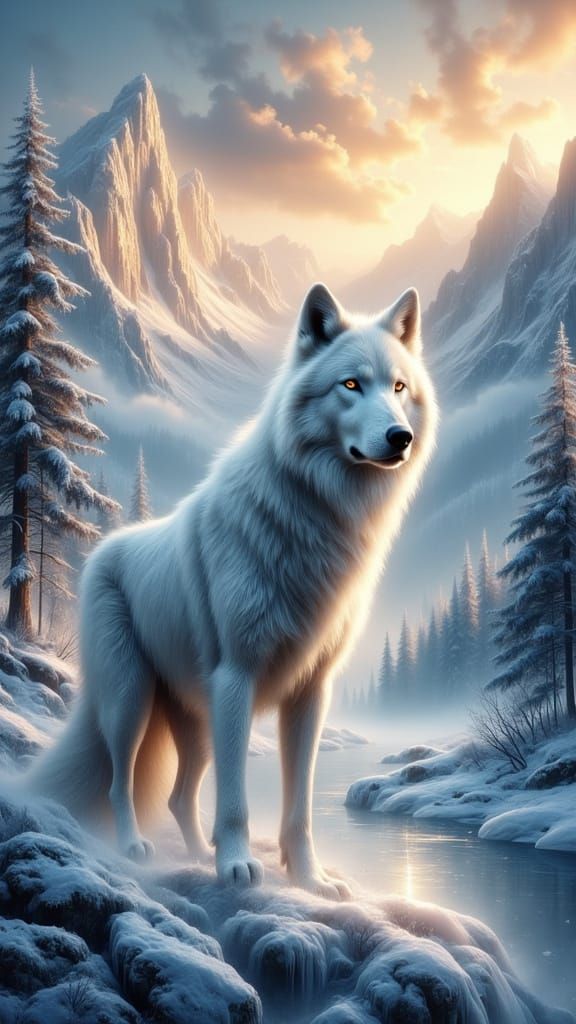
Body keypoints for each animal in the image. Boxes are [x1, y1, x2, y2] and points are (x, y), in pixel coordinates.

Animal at [29, 283, 437, 899]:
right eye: (350, 385)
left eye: (398, 388)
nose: (400, 438)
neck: (314, 517)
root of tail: (103, 548)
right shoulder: (236, 679)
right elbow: (238, 801)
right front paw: (239, 867)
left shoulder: (311, 693)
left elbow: (299, 807)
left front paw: (309, 879)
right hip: (131, 701)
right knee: (121, 782)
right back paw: (134, 847)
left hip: (194, 723)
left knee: (179, 797)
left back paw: (200, 855)